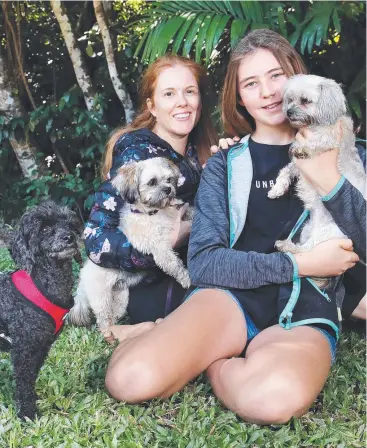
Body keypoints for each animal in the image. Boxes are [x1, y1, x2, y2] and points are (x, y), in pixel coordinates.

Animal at [0, 203, 82, 420]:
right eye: (44, 229)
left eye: (70, 224)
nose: (69, 237)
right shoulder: (24, 349)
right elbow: (24, 381)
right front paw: (27, 413)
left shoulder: (42, 345)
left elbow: (31, 377)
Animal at [68, 159, 193, 338]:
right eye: (152, 182)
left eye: (169, 179)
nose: (168, 189)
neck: (155, 212)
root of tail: (83, 275)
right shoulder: (160, 248)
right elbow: (175, 266)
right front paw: (187, 279)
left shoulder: (181, 211)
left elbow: (191, 212)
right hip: (101, 299)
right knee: (103, 321)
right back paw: (110, 336)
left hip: (120, 297)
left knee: (115, 315)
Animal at [268, 73, 366, 284]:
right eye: (289, 99)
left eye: (305, 101)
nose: (288, 112)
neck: (314, 125)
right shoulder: (296, 166)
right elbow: (284, 172)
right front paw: (276, 189)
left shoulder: (330, 138)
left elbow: (317, 142)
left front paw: (303, 148)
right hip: (307, 230)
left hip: (328, 235)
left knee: (308, 252)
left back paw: (286, 246)